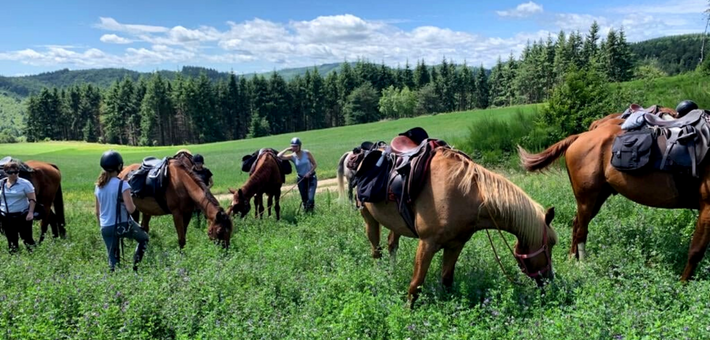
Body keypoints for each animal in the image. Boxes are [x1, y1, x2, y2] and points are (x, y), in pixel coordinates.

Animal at [358, 147, 560, 308]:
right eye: (550, 244)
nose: (549, 280)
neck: (466, 194)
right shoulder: (427, 244)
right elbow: (416, 284)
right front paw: (409, 312)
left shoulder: (455, 245)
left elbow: (447, 280)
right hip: (368, 218)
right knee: (376, 250)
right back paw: (380, 275)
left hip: (396, 224)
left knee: (392, 244)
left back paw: (392, 272)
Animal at [516, 122, 710, 282]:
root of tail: (579, 137)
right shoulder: (707, 208)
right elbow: (696, 251)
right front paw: (683, 283)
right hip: (587, 198)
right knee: (581, 231)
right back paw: (582, 265)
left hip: (598, 197)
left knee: (576, 224)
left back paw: (573, 258)